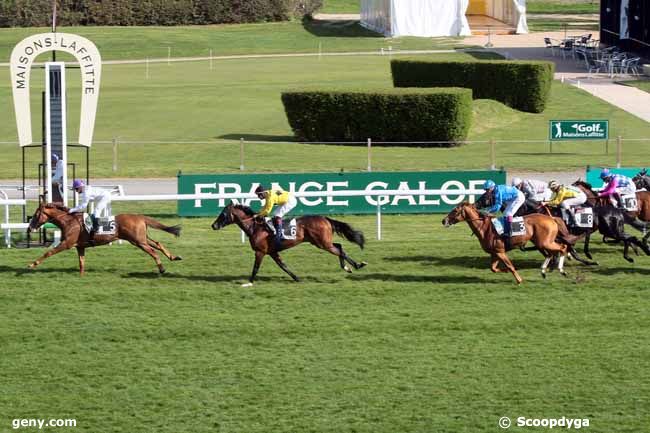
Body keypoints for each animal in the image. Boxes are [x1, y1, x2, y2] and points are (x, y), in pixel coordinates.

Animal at [26, 202, 181, 274]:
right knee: (157, 243)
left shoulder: (67, 243)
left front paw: (32, 264)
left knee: (153, 251)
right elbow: (81, 262)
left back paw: (162, 269)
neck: (69, 221)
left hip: (138, 241)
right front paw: (81, 275)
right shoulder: (80, 246)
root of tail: (140, 217)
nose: (30, 227)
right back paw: (174, 257)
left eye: (36, 214)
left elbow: (48, 252)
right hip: (141, 239)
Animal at [211, 202, 364, 286]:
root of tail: (325, 218)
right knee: (339, 246)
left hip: (322, 243)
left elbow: (255, 268)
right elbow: (283, 266)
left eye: (223, 214)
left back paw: (356, 265)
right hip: (321, 242)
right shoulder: (272, 252)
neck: (255, 227)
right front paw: (297, 278)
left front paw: (249, 282)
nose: (214, 225)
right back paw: (348, 267)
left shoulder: (260, 252)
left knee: (339, 250)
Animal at [440, 202, 568, 284]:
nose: (443, 220)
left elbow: (510, 266)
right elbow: (493, 268)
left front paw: (519, 280)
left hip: (545, 242)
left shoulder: (500, 251)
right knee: (551, 253)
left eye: (455, 210)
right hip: (541, 243)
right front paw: (505, 271)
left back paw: (561, 270)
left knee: (563, 247)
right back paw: (544, 271)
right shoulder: (495, 253)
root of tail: (552, 218)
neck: (485, 228)